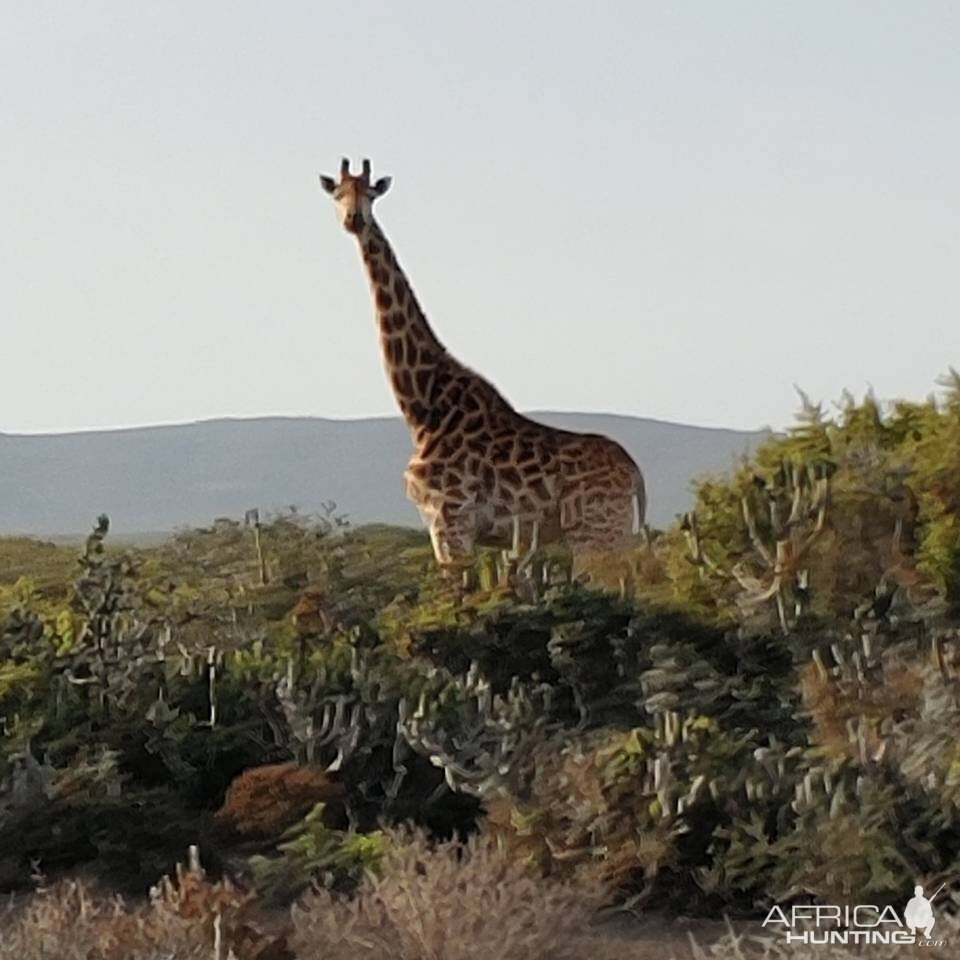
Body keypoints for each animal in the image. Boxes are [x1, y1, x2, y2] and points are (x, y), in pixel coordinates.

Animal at [320, 158, 644, 576]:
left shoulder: (450, 519)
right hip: (610, 531)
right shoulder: (442, 526)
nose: (353, 219)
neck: (421, 406)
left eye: (371, 194)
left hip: (596, 531)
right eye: (338, 194)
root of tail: (635, 473)